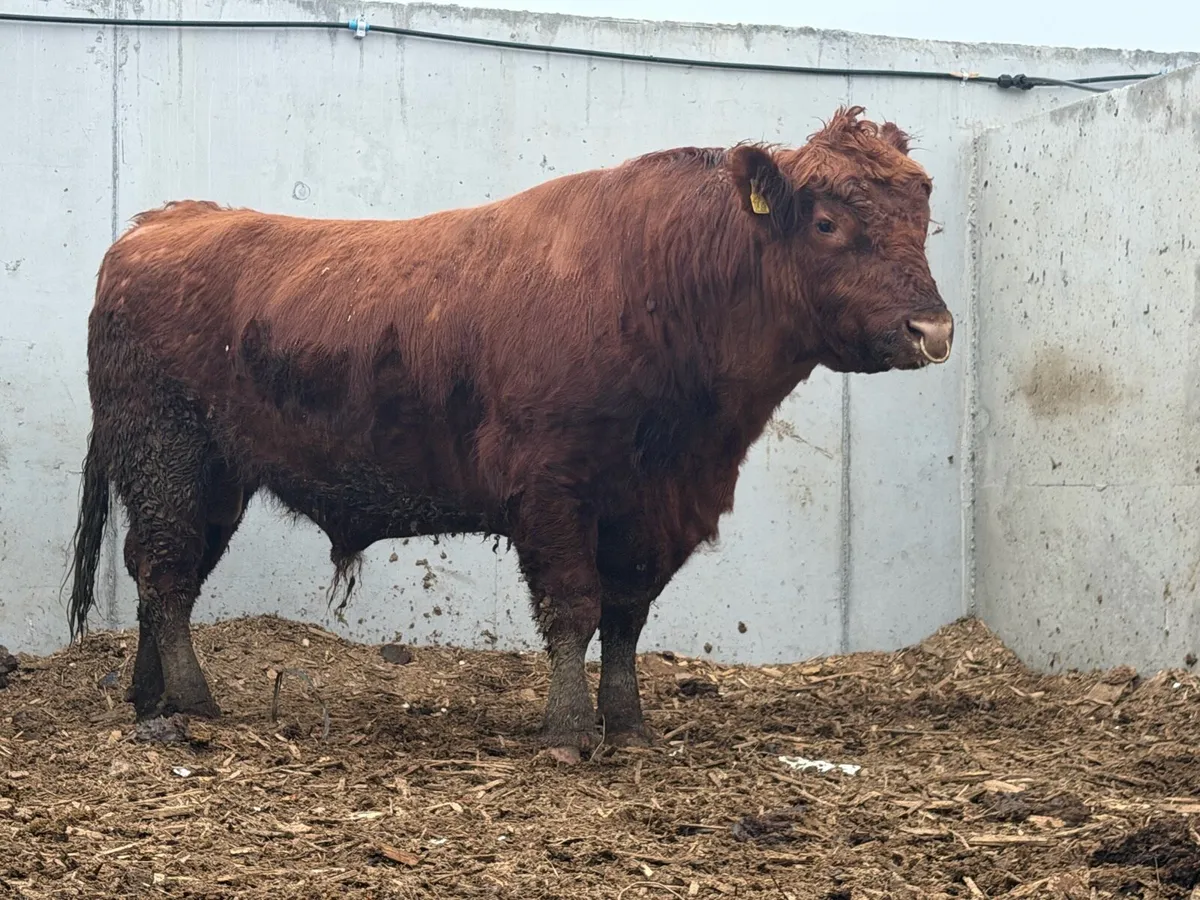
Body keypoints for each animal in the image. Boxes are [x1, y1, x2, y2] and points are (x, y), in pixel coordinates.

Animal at [67, 106, 953, 764]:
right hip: (168, 455)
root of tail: (154, 226)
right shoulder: (554, 487)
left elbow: (627, 615)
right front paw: (567, 733)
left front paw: (630, 727)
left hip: (214, 476)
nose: (933, 330)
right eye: (828, 222)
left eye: (922, 218)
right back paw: (194, 703)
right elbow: (574, 606)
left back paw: (151, 698)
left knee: (163, 572)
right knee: (166, 573)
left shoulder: (655, 505)